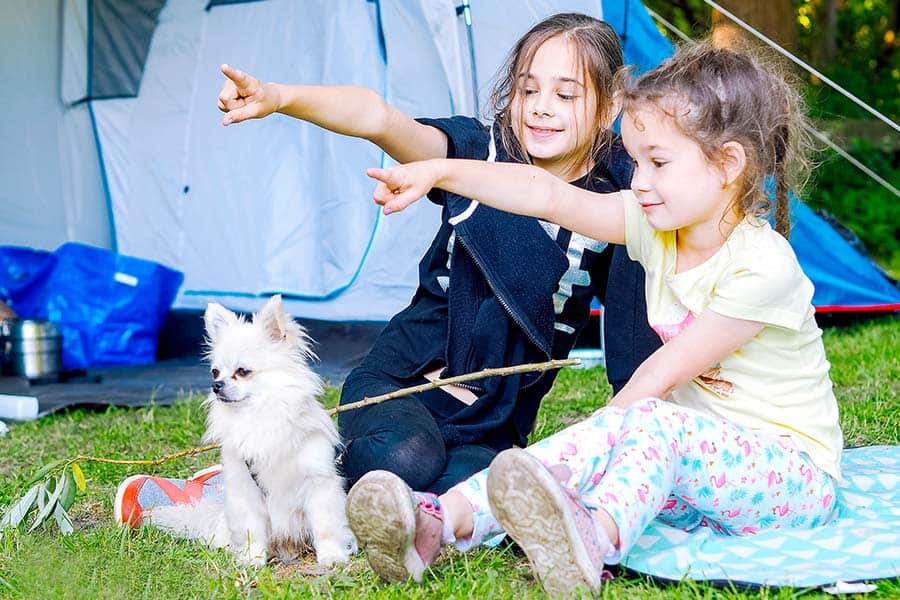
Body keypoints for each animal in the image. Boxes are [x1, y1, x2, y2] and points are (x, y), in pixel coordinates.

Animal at [150, 296, 356, 568]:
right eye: (215, 372)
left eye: (243, 372)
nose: (216, 385)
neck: (258, 417)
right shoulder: (244, 489)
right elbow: (251, 529)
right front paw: (252, 560)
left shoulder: (319, 483)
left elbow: (325, 526)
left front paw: (332, 557)